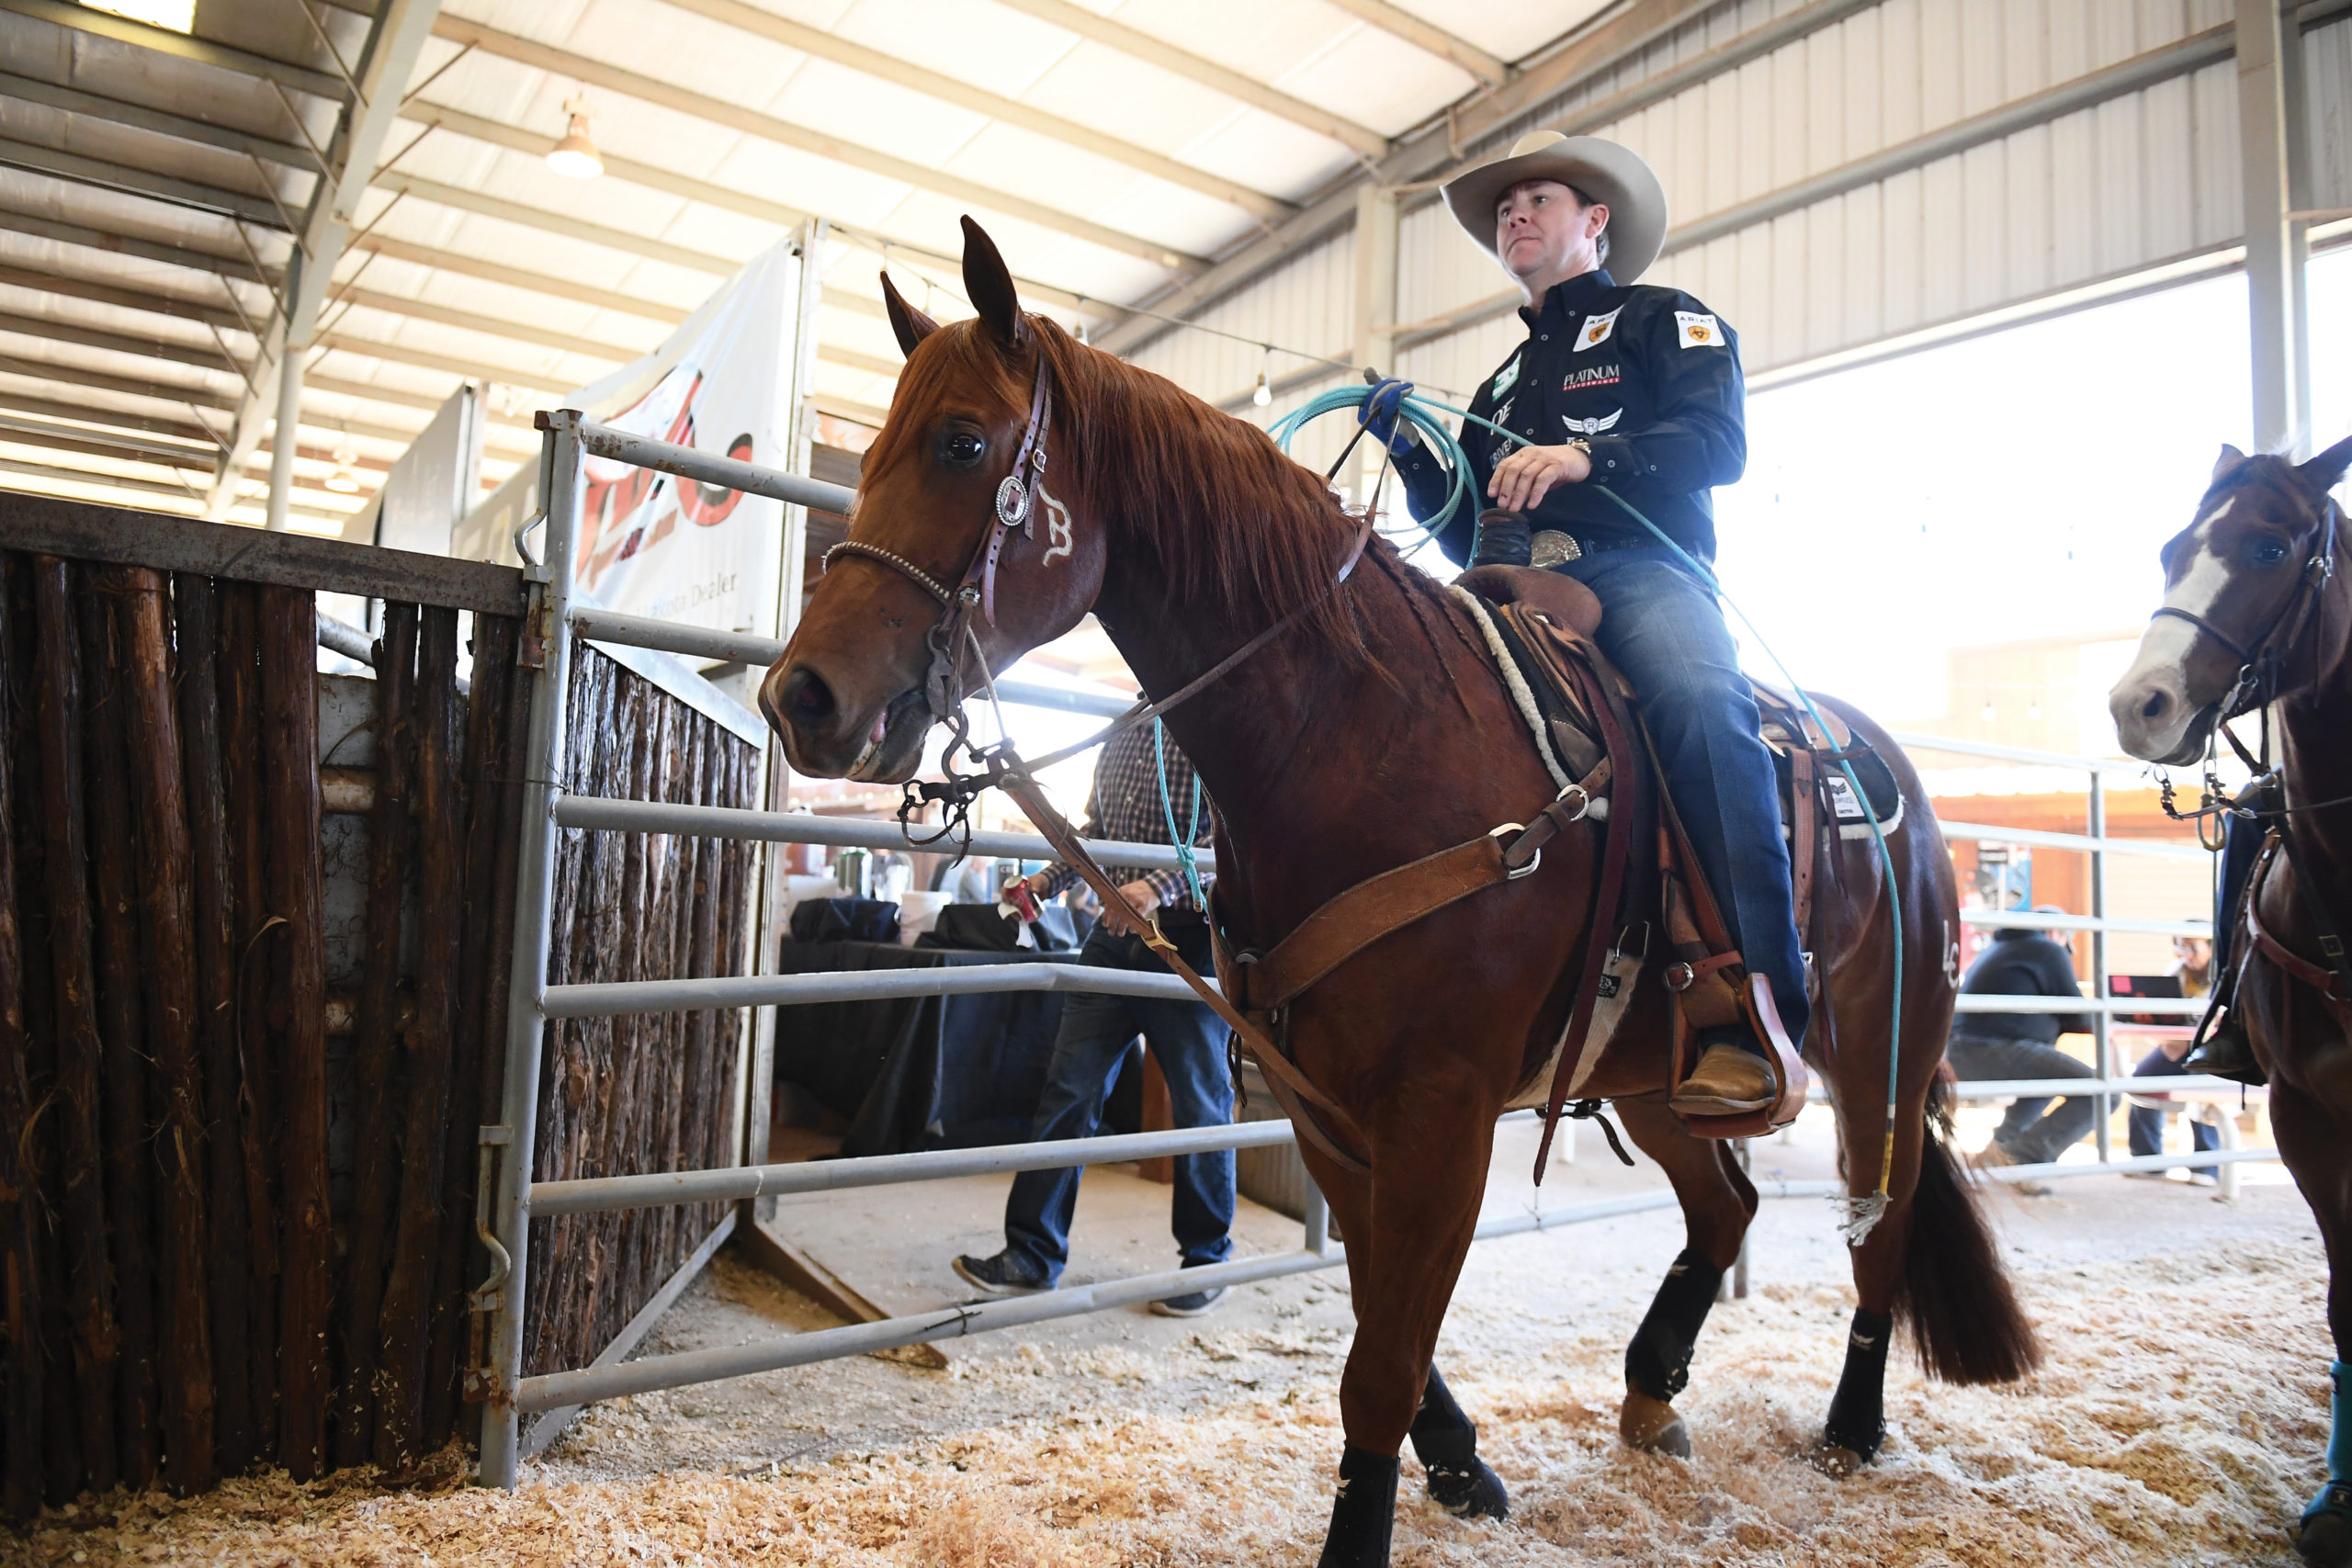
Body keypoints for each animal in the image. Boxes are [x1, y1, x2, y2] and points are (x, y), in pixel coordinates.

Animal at [762, 223, 2031, 1568]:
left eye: (959, 441)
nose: (802, 697)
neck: (1365, 732)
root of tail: (1891, 777)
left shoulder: (1442, 1108)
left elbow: (1378, 1361)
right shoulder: (1325, 1101)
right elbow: (1385, 1319)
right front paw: (1464, 1462)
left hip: (1886, 1051)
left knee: (1878, 1225)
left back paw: (1851, 1423)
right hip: (1660, 1073)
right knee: (1726, 1205)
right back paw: (1652, 1387)